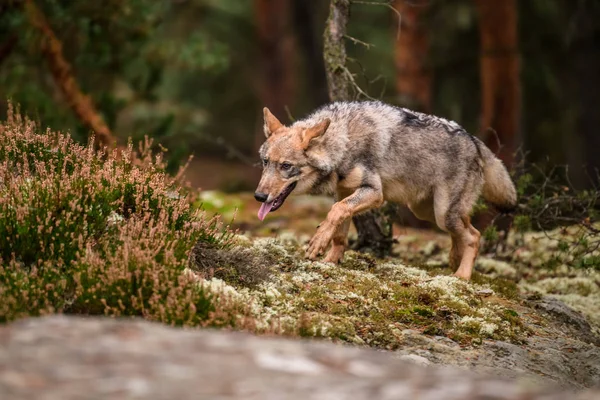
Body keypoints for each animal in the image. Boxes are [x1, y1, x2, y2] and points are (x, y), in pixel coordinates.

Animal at [253, 101, 516, 280]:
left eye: (286, 166)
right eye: (266, 162)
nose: (259, 196)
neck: (344, 142)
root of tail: (474, 140)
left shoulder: (374, 193)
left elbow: (335, 212)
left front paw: (318, 243)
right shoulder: (343, 193)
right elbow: (339, 229)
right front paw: (331, 261)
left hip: (442, 213)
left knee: (474, 235)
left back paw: (462, 275)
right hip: (427, 212)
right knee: (466, 228)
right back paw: (453, 260)